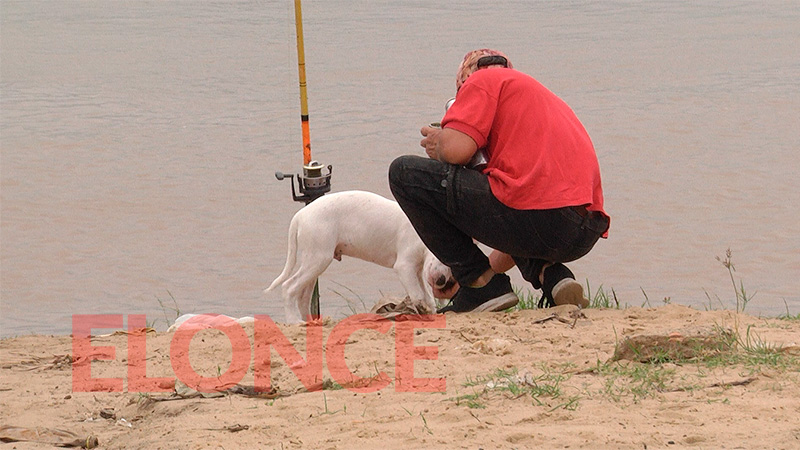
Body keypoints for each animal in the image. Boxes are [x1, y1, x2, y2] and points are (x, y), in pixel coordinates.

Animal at [262, 191, 450, 324]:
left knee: (303, 296)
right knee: (289, 287)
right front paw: (423, 311)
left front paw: (431, 312)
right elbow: (418, 294)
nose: (442, 281)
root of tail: (300, 215)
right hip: (318, 258)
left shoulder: (417, 270)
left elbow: (427, 296)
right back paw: (294, 321)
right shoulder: (404, 267)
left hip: (313, 261)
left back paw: (311, 322)